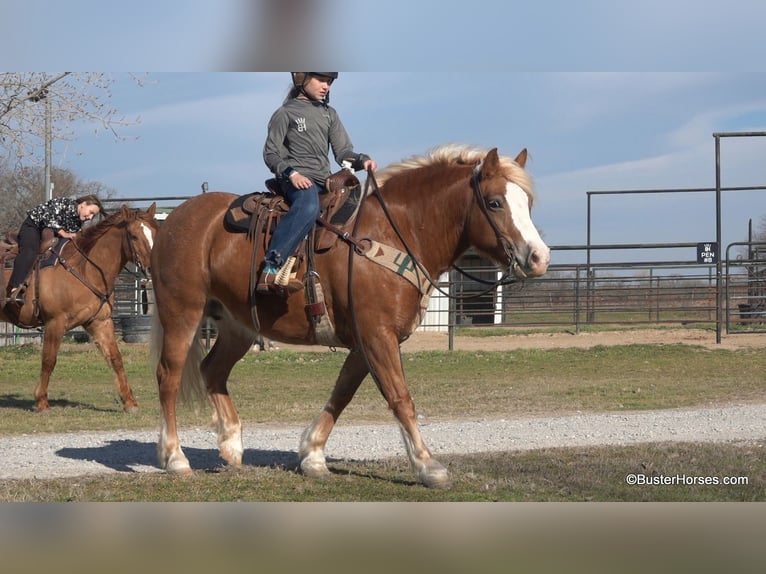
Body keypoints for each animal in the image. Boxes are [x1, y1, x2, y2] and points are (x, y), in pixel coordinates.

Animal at [0, 206, 159, 414]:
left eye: (154, 233)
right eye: (133, 236)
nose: (151, 268)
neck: (84, 268)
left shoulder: (99, 322)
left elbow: (115, 359)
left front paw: (130, 403)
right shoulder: (55, 323)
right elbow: (49, 360)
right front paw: (42, 402)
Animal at [150, 146, 548, 488]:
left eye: (527, 203)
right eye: (494, 203)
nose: (539, 257)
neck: (396, 232)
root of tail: (175, 220)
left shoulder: (365, 340)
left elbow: (342, 393)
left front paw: (312, 455)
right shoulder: (377, 336)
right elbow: (400, 397)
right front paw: (427, 465)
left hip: (239, 325)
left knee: (213, 371)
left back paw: (231, 445)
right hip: (182, 313)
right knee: (169, 376)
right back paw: (175, 458)